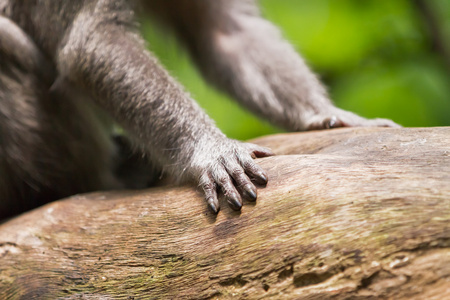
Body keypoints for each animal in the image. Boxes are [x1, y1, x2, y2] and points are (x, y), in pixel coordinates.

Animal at [0, 0, 400, 218]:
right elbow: (94, 43)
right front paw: (212, 150)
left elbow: (225, 32)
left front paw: (323, 113)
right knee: (9, 43)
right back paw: (104, 179)